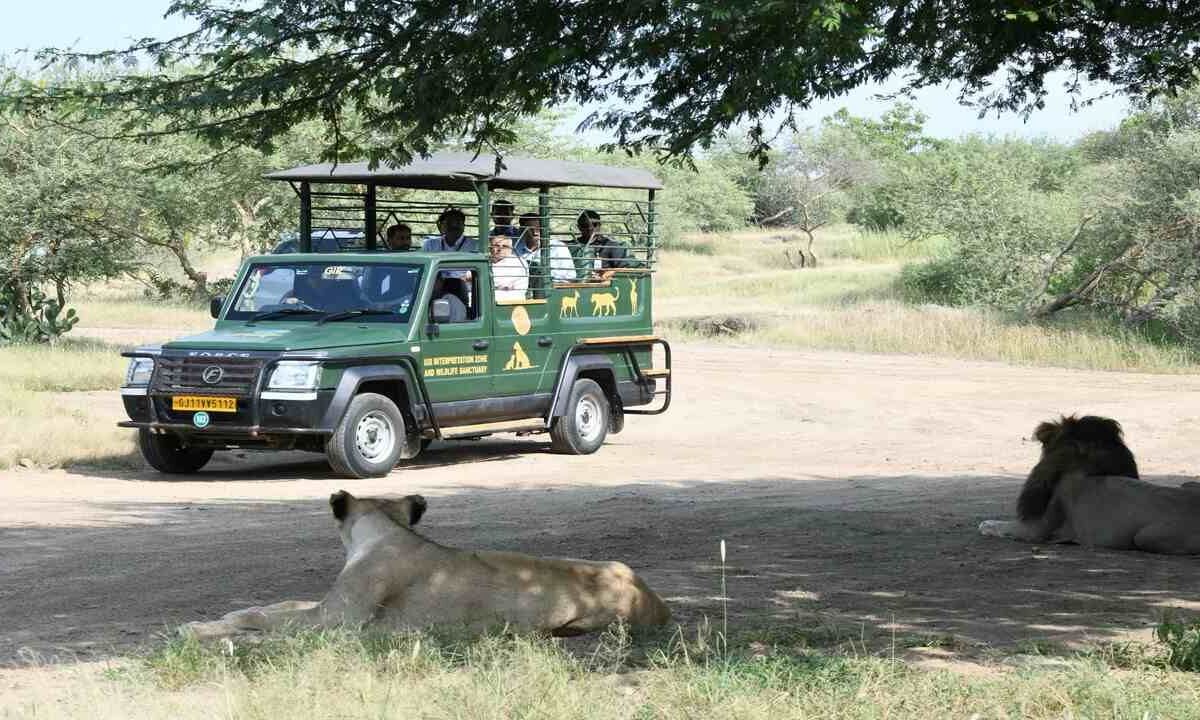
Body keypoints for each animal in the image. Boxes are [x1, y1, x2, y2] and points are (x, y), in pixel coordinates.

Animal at [187, 492, 676, 638]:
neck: (387, 530)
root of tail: (660, 604)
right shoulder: (325, 608)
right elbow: (278, 604)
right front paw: (226, 614)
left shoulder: (336, 621)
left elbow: (265, 617)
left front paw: (199, 628)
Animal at [979, 412, 1200, 554]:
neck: (1083, 464)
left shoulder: (1037, 530)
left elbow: (1000, 526)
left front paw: (985, 524)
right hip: (1188, 484)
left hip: (1146, 537)